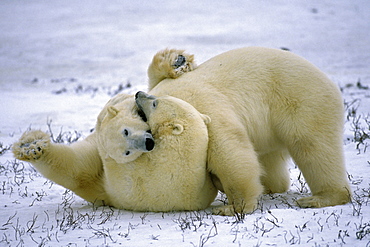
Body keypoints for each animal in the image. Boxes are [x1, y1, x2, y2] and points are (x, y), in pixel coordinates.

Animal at [13, 93, 217, 211]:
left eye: (155, 104)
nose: (139, 93)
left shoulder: (142, 177)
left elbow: (110, 164)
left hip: (101, 188)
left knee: (74, 168)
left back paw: (31, 147)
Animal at [146, 46, 352, 216]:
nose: (140, 96)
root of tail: (329, 81)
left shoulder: (207, 112)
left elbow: (230, 155)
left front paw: (233, 207)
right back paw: (269, 186)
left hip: (303, 102)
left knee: (313, 148)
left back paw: (320, 198)